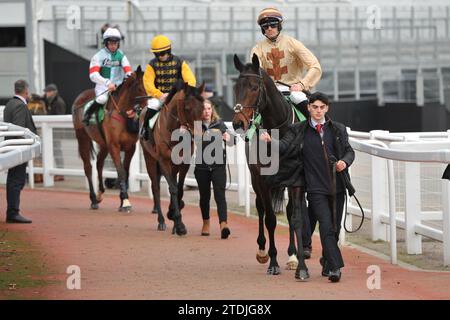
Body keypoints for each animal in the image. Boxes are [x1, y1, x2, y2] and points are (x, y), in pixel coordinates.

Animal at [71, 66, 146, 211]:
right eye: (140, 88)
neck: (122, 115)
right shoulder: (114, 146)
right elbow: (121, 172)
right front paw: (125, 202)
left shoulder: (130, 147)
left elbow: (125, 172)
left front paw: (122, 200)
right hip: (82, 138)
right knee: (88, 167)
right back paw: (93, 199)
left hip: (103, 144)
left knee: (99, 163)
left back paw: (100, 193)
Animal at [139, 80, 206, 235]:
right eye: (187, 108)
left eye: (203, 107)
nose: (199, 133)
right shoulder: (163, 161)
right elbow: (173, 189)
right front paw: (179, 224)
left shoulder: (183, 163)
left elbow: (179, 188)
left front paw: (175, 218)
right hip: (150, 159)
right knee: (155, 187)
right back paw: (161, 221)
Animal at [232, 53, 310, 278]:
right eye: (236, 87)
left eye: (254, 87)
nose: (238, 123)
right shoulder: (263, 180)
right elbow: (270, 219)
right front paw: (273, 261)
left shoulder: (295, 179)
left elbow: (294, 216)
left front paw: (294, 258)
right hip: (255, 178)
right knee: (260, 208)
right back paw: (261, 250)